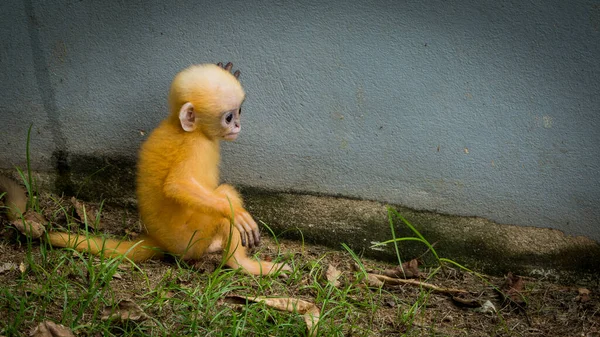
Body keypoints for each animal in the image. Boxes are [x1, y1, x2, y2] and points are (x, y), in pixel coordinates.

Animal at [49, 61, 288, 274]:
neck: (185, 129)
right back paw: (241, 265)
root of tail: (161, 242)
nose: (237, 125)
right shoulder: (195, 147)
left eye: (239, 111)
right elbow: (176, 185)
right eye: (229, 117)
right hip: (192, 240)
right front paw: (232, 211)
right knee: (226, 195)